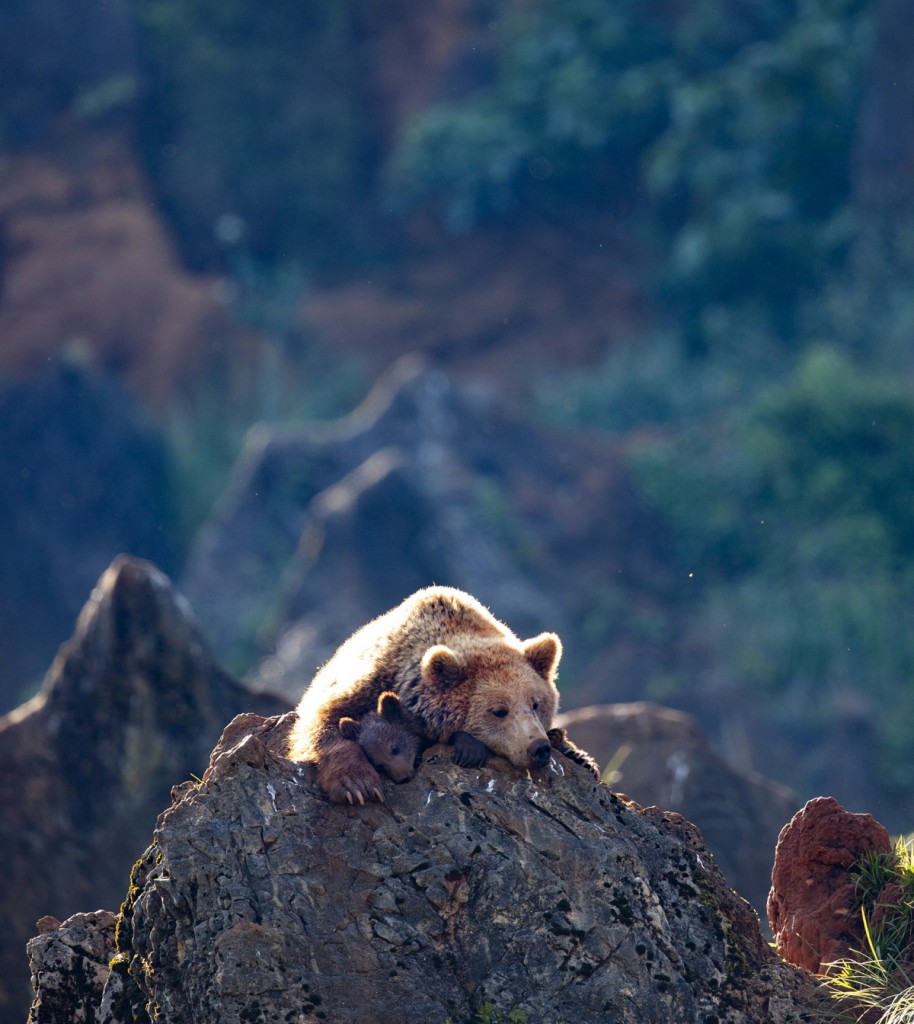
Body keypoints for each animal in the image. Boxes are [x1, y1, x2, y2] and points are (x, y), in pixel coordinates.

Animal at [288, 589, 593, 802]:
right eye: (498, 710)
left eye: (536, 704)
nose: (538, 748)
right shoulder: (371, 679)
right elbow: (324, 719)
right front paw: (357, 785)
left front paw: (578, 754)